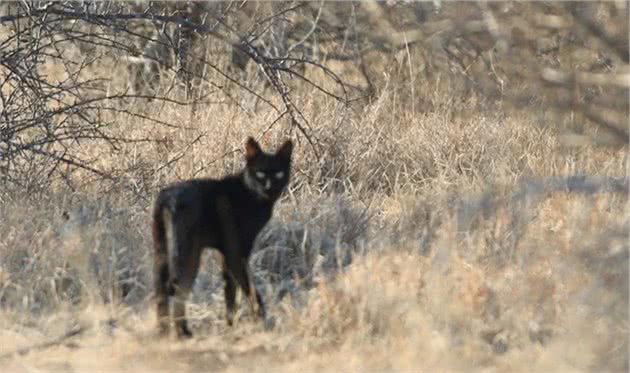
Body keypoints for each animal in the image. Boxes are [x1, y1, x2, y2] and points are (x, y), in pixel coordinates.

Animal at [153, 137, 294, 338]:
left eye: (279, 174)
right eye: (260, 173)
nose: (269, 187)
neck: (251, 195)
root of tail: (167, 197)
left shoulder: (226, 255)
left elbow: (230, 290)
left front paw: (230, 324)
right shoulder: (237, 252)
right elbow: (249, 288)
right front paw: (262, 320)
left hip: (162, 252)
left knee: (160, 290)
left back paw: (165, 333)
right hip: (188, 254)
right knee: (176, 288)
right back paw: (182, 333)